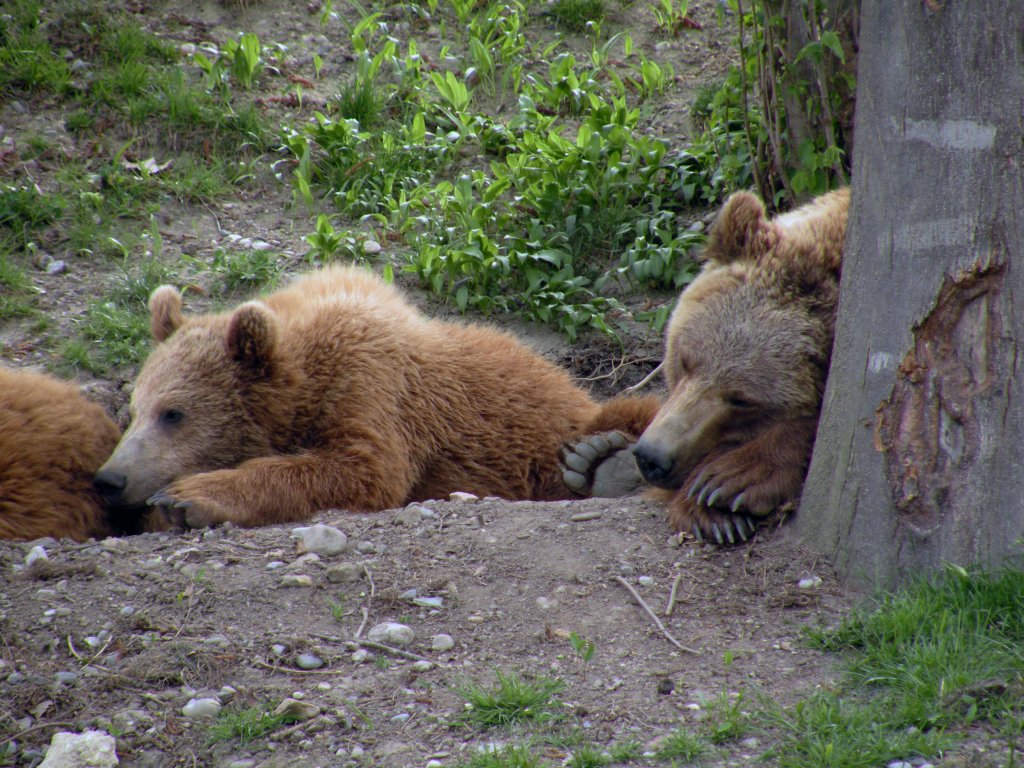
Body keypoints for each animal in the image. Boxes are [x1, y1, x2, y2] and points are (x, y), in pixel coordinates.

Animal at [94, 264, 655, 528]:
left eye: (174, 413)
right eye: (133, 410)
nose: (110, 479)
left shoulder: (373, 382)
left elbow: (362, 467)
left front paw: (189, 497)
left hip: (558, 424)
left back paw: (605, 461)